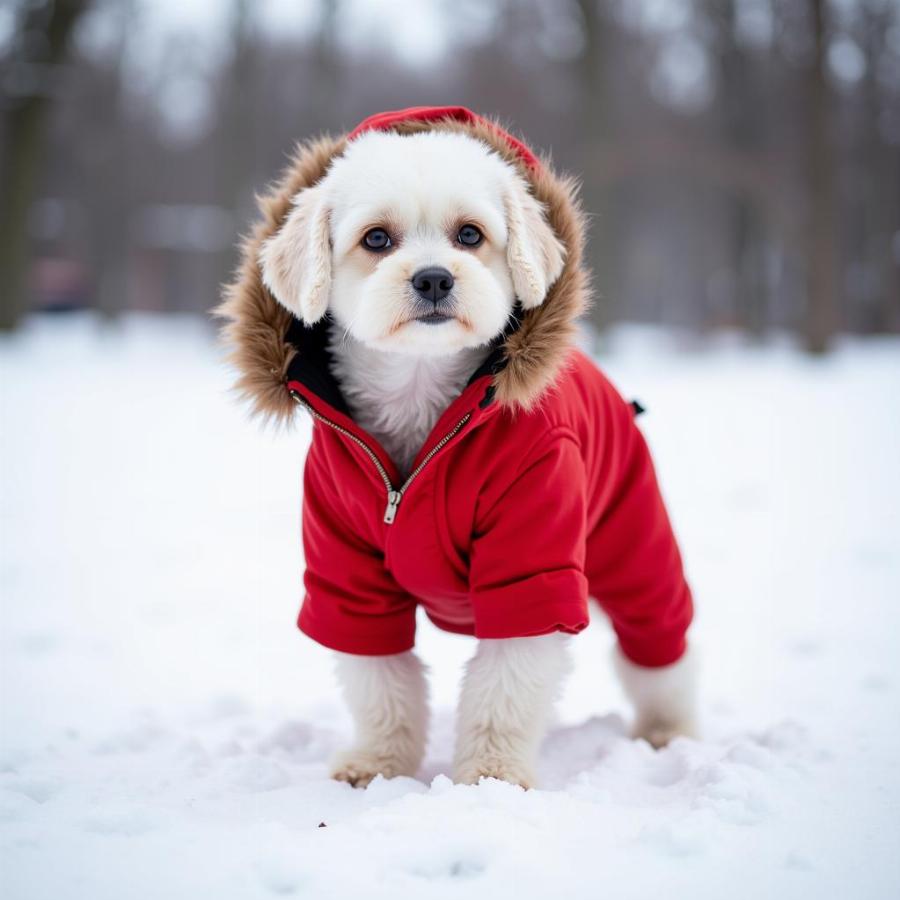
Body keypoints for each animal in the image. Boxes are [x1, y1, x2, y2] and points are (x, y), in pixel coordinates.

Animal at [221, 109, 700, 788]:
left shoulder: (533, 562)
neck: (426, 420)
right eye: (376, 239)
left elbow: (504, 689)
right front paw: (377, 764)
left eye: (470, 234)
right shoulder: (346, 575)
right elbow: (381, 685)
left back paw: (667, 730)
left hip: (634, 542)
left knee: (660, 642)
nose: (433, 277)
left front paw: (492, 777)